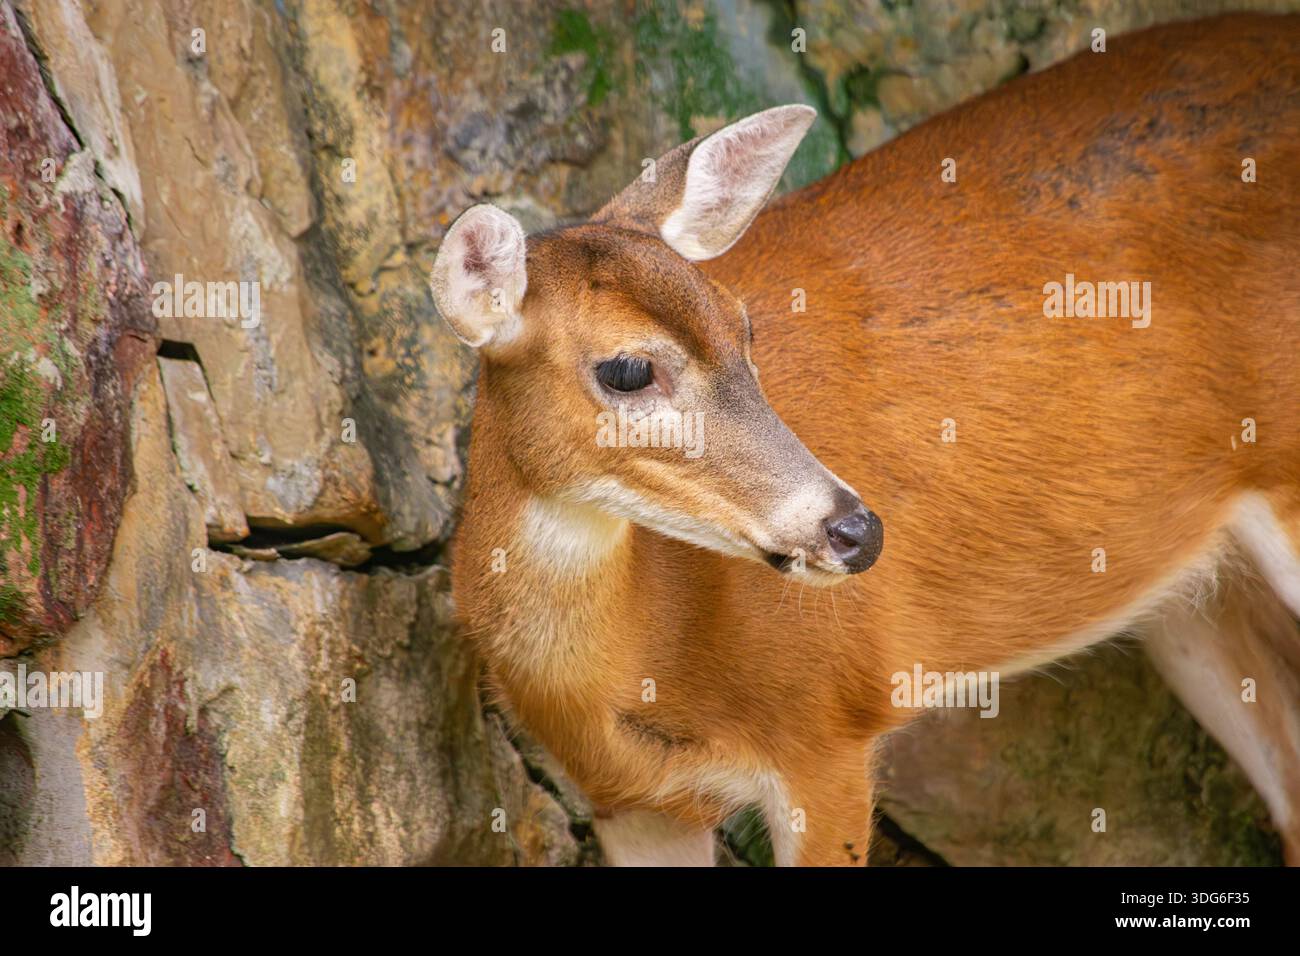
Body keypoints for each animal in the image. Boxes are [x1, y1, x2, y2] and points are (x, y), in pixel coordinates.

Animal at [429, 13, 1300, 866]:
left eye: (744, 326)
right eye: (627, 369)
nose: (856, 529)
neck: (642, 659)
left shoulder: (827, 730)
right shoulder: (635, 802)